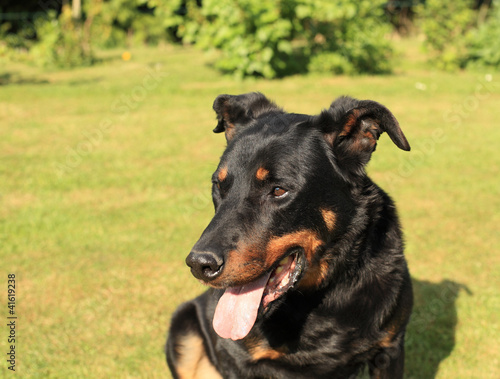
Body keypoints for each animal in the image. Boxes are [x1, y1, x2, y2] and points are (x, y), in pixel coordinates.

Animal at [166, 93, 412, 379]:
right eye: (219, 185)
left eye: (279, 190)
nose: (199, 264)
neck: (318, 296)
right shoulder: (236, 359)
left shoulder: (389, 349)